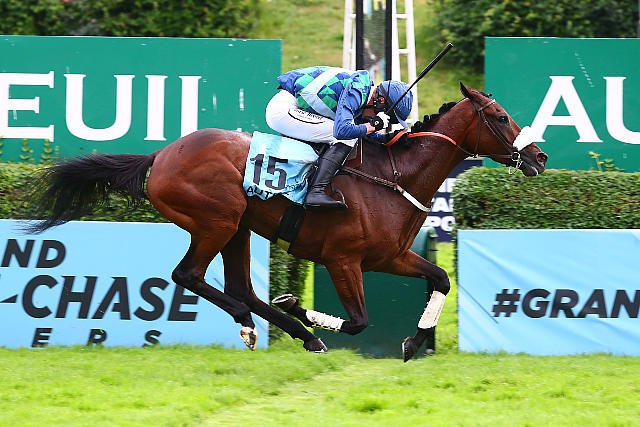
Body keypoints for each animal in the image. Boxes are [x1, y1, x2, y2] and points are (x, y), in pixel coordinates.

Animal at [26, 83, 548, 361]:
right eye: (500, 116)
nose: (539, 157)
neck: (392, 175)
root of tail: (163, 154)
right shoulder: (343, 260)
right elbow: (358, 321)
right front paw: (301, 306)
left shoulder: (390, 256)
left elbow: (440, 278)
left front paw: (412, 341)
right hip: (217, 221)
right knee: (188, 275)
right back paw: (273, 326)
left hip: (237, 228)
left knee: (239, 286)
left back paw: (288, 331)